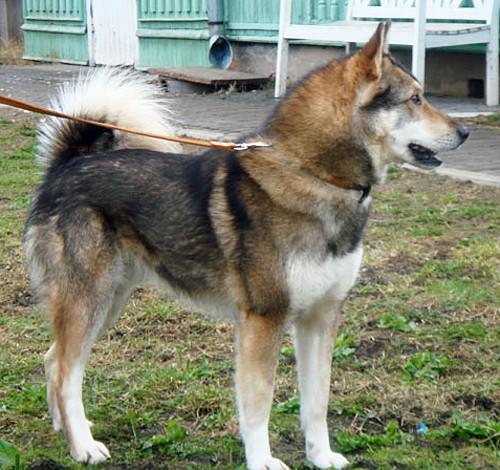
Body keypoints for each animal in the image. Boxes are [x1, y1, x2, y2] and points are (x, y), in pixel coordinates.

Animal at [24, 22, 468, 469]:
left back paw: (66, 428)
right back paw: (83, 446)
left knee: (53, 360)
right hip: (89, 301)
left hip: (107, 302)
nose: (465, 131)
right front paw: (262, 460)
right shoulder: (262, 321)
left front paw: (321, 456)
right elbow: (258, 406)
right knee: (66, 373)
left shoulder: (321, 318)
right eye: (415, 98)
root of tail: (67, 165)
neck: (314, 175)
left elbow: (317, 401)